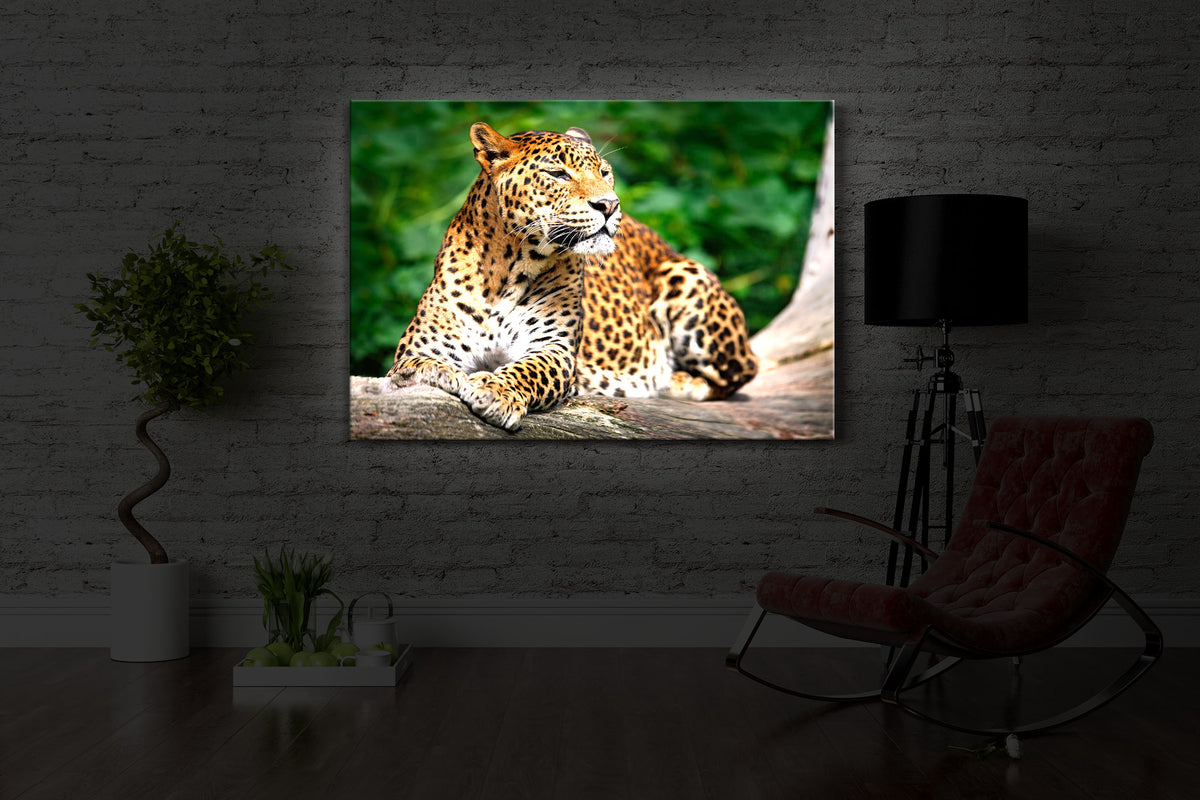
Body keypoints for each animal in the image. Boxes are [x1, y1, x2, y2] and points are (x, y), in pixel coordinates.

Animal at [386, 122, 758, 432]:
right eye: (558, 174)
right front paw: (432, 371)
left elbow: (528, 370)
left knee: (743, 369)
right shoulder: (424, 343)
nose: (609, 204)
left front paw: (495, 390)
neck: (508, 270)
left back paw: (680, 381)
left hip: (686, 275)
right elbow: (414, 363)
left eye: (605, 172)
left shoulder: (554, 348)